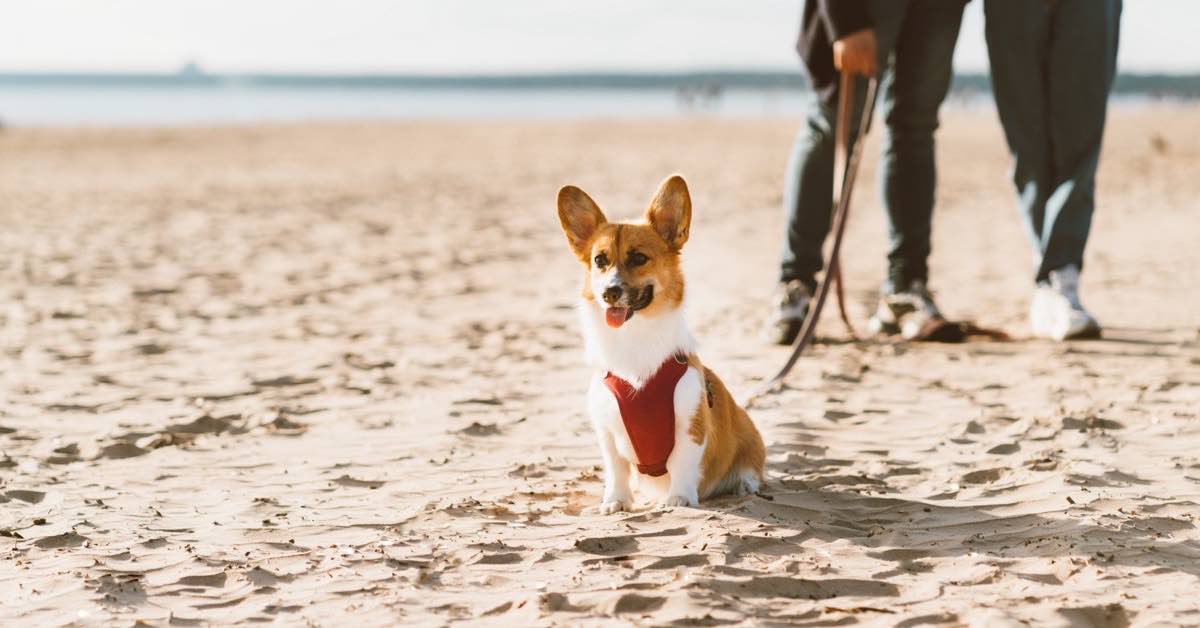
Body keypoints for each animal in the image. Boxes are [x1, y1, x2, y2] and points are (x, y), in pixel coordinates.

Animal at [554, 175, 763, 511]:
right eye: (600, 261)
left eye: (639, 258)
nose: (609, 292)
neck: (634, 338)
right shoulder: (607, 431)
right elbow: (616, 470)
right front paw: (616, 501)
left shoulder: (690, 426)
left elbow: (682, 463)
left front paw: (679, 499)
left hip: (751, 439)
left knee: (752, 471)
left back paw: (745, 486)